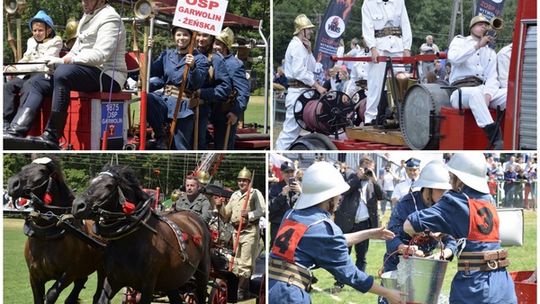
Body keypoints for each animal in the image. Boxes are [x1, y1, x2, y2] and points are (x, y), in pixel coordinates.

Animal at [7, 158, 104, 302]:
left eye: (42, 171)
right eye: (24, 167)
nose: (12, 184)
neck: (46, 233)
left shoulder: (69, 273)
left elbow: (51, 294)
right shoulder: (34, 277)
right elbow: (38, 298)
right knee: (80, 283)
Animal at [73, 166, 212, 304]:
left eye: (109, 185)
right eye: (91, 182)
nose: (77, 205)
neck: (129, 240)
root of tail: (194, 217)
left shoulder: (148, 285)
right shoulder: (113, 280)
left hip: (202, 273)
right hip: (171, 279)